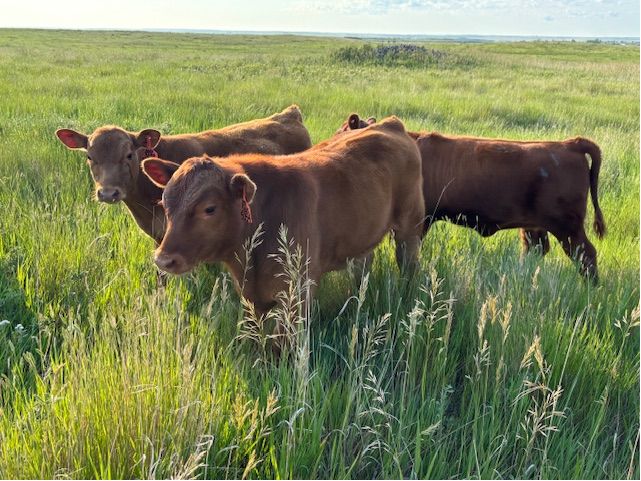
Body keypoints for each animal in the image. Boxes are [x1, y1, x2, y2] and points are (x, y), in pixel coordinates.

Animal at [141, 116, 424, 325]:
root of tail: (390, 123)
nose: (163, 260)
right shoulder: (251, 294)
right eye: (165, 203)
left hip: (410, 226)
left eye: (209, 209)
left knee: (408, 262)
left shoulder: (298, 291)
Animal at [336, 114, 606, 280]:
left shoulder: (418, 220)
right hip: (534, 226)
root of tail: (569, 144)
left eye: (341, 131)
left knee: (587, 255)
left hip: (568, 227)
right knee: (535, 249)